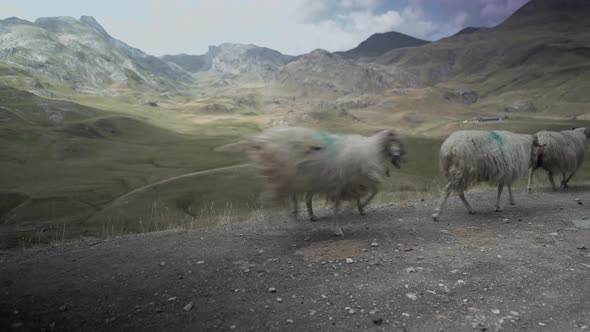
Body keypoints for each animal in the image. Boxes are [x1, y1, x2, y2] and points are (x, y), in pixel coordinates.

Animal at [249, 125, 408, 236]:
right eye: (396, 142)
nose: (401, 160)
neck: (373, 150)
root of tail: (263, 140)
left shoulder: (348, 183)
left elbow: (353, 200)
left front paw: (357, 209)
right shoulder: (344, 183)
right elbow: (366, 194)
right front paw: (342, 224)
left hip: (301, 178)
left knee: (300, 197)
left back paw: (306, 215)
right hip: (287, 176)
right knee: (275, 197)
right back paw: (285, 217)